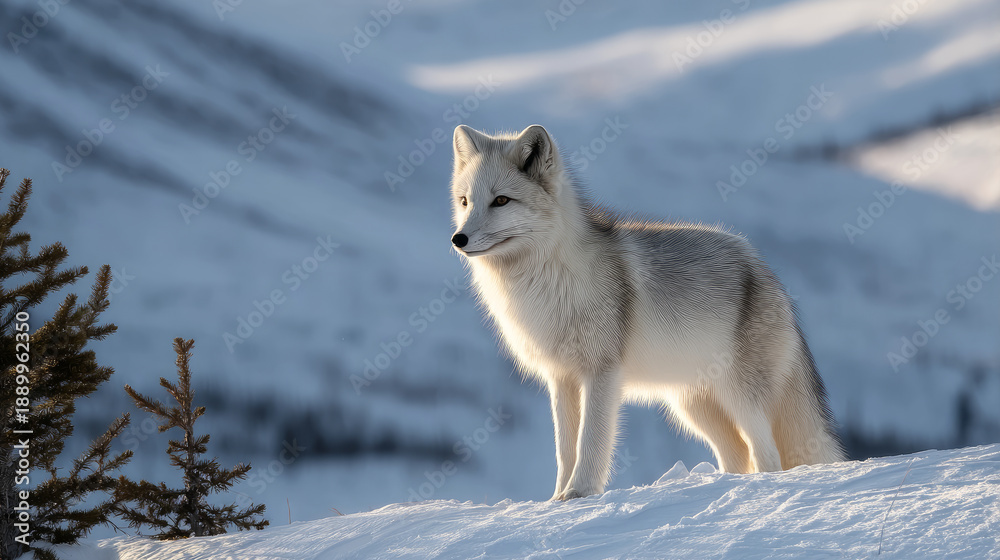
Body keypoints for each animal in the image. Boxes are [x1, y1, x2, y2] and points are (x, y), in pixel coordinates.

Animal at [448, 124, 845, 500]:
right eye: (465, 201)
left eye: (501, 200)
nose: (458, 239)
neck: (545, 280)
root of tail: (766, 271)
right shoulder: (560, 378)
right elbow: (565, 451)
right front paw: (556, 499)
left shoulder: (601, 373)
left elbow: (590, 443)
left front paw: (580, 494)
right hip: (693, 406)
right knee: (738, 455)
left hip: (739, 397)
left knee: (767, 456)